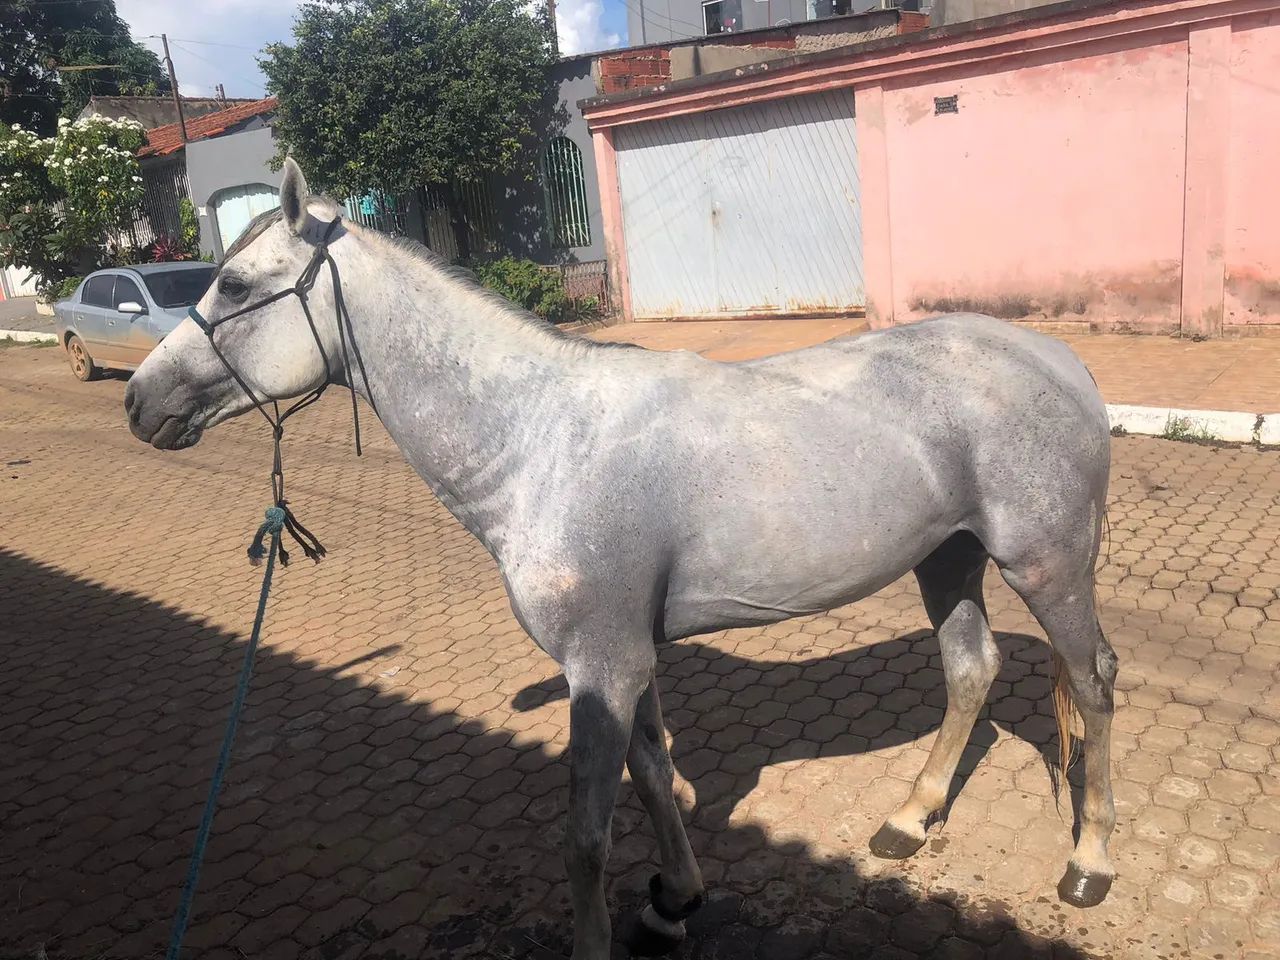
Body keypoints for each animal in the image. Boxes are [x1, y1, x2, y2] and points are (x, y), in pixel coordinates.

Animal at [124, 158, 1118, 960]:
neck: (541, 440)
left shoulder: (599, 661)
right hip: (948, 560)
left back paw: (1090, 861)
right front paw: (675, 899)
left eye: (233, 284)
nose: (138, 400)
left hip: (1046, 565)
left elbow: (586, 835)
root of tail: (1058, 360)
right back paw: (910, 819)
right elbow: (651, 774)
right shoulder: (625, 660)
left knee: (1094, 683)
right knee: (971, 670)